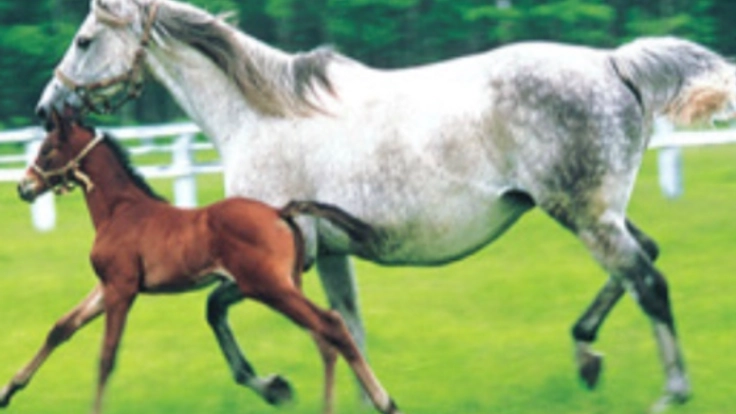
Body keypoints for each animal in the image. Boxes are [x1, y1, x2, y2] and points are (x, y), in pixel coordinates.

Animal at [9, 110, 400, 414]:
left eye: (48, 149)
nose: (23, 187)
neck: (120, 211)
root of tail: (279, 211)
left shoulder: (122, 288)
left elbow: (106, 358)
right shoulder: (108, 286)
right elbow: (61, 327)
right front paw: (8, 390)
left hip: (269, 287)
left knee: (331, 324)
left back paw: (385, 401)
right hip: (284, 285)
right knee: (323, 336)